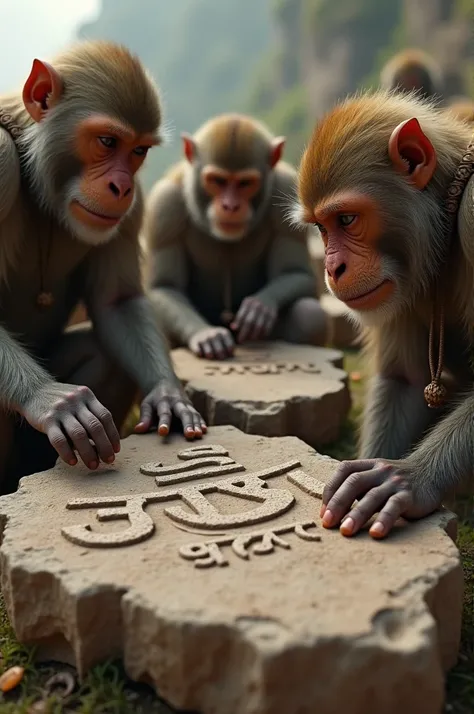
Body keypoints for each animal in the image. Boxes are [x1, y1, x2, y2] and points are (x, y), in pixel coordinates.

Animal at [0, 41, 206, 492]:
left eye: (138, 151)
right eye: (108, 141)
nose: (121, 186)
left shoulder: (134, 207)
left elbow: (118, 302)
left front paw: (167, 394)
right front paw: (50, 399)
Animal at [296, 92, 474, 540]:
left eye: (346, 219)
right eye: (322, 228)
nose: (332, 268)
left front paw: (409, 478)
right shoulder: (400, 279)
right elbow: (404, 378)